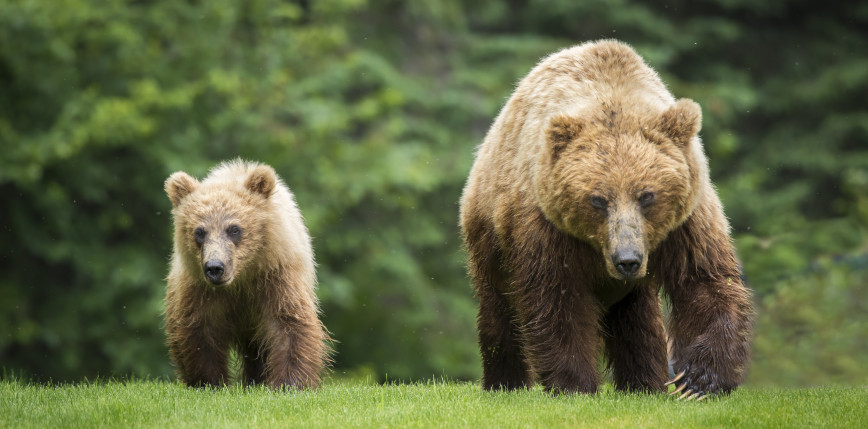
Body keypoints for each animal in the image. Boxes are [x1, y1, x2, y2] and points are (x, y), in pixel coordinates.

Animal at [163, 160, 328, 388]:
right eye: (199, 231)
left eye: (234, 229)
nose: (215, 267)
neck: (241, 278)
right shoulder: (199, 289)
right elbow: (200, 331)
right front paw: (209, 381)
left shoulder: (276, 277)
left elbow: (288, 322)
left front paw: (290, 382)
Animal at [462, 40, 752, 398]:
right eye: (598, 199)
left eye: (647, 195)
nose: (627, 259)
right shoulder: (547, 228)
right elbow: (557, 301)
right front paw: (575, 384)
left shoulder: (685, 222)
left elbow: (704, 280)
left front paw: (697, 381)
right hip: (490, 235)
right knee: (499, 310)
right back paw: (505, 382)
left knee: (638, 320)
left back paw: (645, 382)